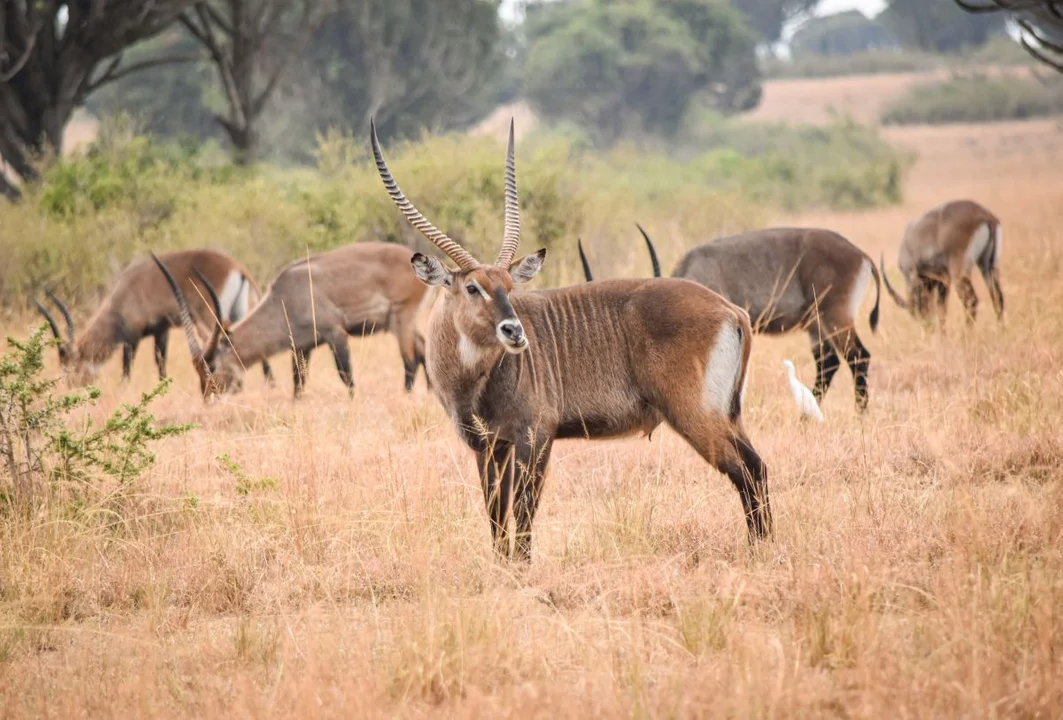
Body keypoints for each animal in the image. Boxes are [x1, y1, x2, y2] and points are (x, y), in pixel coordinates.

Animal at [33, 250, 274, 387]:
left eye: (69, 367)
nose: (70, 387)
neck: (123, 292)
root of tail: (238, 268)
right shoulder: (162, 330)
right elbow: (161, 361)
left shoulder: (132, 337)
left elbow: (127, 365)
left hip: (211, 319)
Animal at [153, 241, 431, 397]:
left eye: (211, 367)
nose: (208, 398)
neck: (285, 297)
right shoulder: (301, 347)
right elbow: (298, 381)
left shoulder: (335, 334)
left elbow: (346, 375)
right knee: (422, 347)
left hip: (401, 318)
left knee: (410, 357)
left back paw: (406, 395)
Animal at [374, 119, 773, 561]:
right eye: (473, 288)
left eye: (509, 286)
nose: (515, 332)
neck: (471, 379)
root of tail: (731, 310)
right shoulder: (489, 447)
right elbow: (496, 516)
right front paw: (501, 567)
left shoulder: (535, 437)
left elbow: (523, 514)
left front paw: (521, 569)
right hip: (727, 415)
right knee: (756, 466)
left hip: (696, 415)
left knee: (747, 470)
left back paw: (760, 551)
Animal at [582, 227, 880, 412]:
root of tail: (861, 254)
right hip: (815, 324)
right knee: (828, 364)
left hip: (834, 318)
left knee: (858, 356)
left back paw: (859, 415)